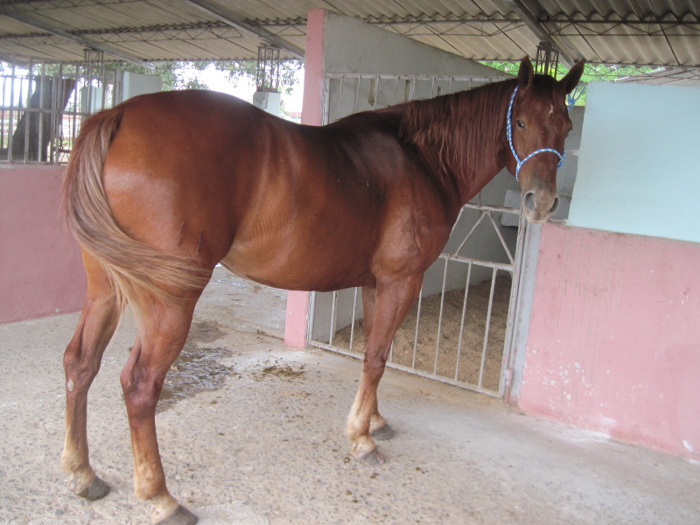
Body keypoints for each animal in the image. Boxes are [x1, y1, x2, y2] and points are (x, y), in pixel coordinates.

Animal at [61, 57, 584, 524]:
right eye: (520, 120)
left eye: (567, 125)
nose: (541, 203)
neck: (423, 158)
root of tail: (117, 116)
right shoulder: (401, 280)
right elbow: (376, 358)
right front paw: (361, 438)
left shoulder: (377, 284)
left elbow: (377, 352)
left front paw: (374, 421)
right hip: (168, 300)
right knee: (140, 385)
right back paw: (161, 497)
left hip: (106, 288)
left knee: (80, 363)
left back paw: (82, 473)